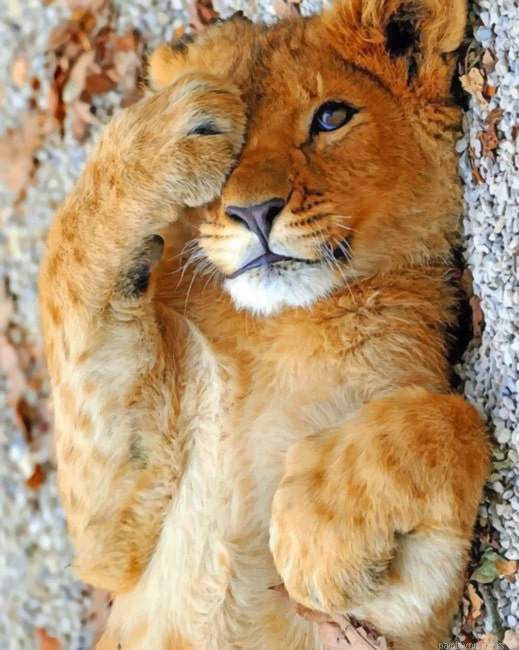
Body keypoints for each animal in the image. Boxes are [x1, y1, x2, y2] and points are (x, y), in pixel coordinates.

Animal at [38, 0, 490, 648]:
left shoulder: (394, 624)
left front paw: (316, 530)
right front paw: (166, 133)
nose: (254, 213)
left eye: (331, 117)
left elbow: (454, 421)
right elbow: (67, 257)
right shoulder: (110, 541)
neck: (286, 327)